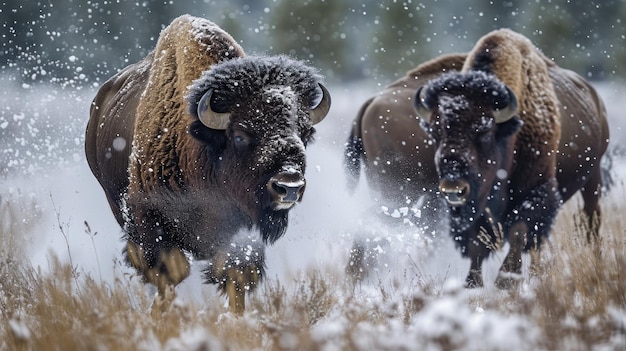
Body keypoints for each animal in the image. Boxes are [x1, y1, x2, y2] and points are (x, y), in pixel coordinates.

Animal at [86, 15, 332, 314]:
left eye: (305, 133)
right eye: (240, 135)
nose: (290, 186)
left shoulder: (242, 230)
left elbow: (236, 275)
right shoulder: (147, 215)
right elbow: (172, 270)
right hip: (115, 201)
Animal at [344, 28, 608, 288]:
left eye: (485, 131)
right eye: (435, 133)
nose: (454, 187)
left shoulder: (534, 192)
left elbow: (518, 232)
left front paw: (504, 280)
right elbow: (479, 245)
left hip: (592, 178)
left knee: (589, 219)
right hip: (399, 193)